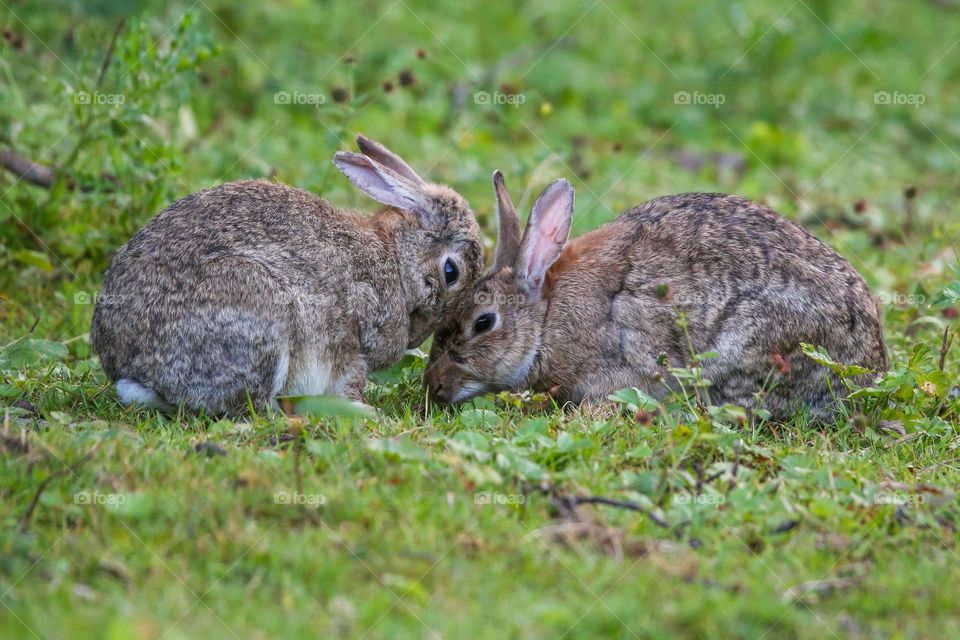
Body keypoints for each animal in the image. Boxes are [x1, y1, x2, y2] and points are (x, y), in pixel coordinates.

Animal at [91, 135, 484, 416]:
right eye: (451, 272)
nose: (416, 338)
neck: (395, 255)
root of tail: (131, 371)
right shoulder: (354, 336)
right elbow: (351, 377)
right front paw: (366, 410)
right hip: (260, 315)